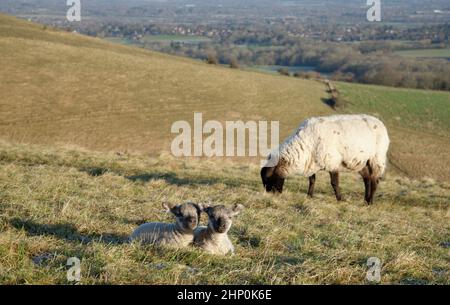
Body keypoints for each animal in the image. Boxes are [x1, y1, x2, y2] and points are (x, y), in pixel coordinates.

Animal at [260, 113, 390, 203]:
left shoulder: (332, 162)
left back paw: (370, 201)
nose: (271, 194)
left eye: (270, 178)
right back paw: (365, 200)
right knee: (367, 179)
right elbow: (312, 180)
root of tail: (380, 123)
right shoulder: (312, 162)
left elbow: (334, 183)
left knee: (375, 181)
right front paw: (309, 196)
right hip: (362, 162)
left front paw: (340, 199)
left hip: (376, 158)